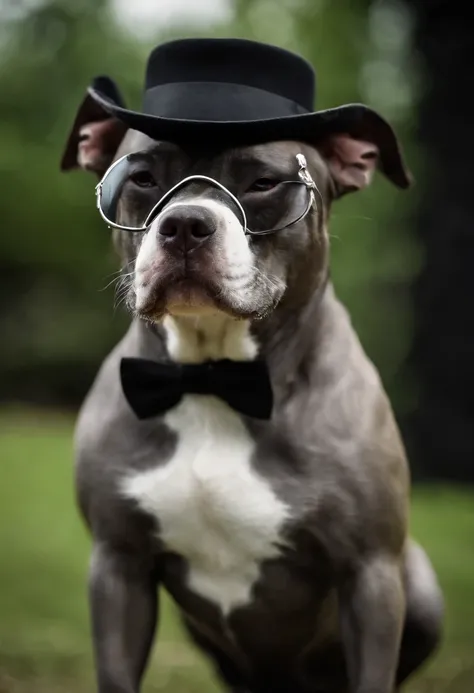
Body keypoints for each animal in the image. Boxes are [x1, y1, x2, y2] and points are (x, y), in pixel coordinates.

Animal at [61, 36, 442, 692]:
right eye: (142, 177)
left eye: (264, 182)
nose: (185, 223)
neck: (213, 379)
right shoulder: (118, 568)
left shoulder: (370, 576)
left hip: (418, 584)